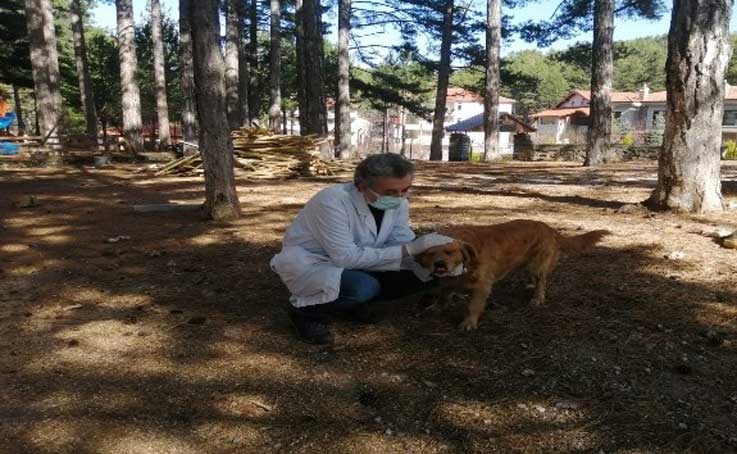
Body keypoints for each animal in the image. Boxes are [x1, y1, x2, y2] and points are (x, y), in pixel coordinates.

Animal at [416, 220, 608, 330]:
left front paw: (469, 323)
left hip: (536, 264)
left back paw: (537, 297)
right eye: (430, 253)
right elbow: (443, 295)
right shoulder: (446, 283)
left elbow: (473, 306)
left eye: (450, 252)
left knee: (542, 281)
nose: (439, 264)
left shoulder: (482, 285)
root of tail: (548, 227)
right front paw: (436, 307)